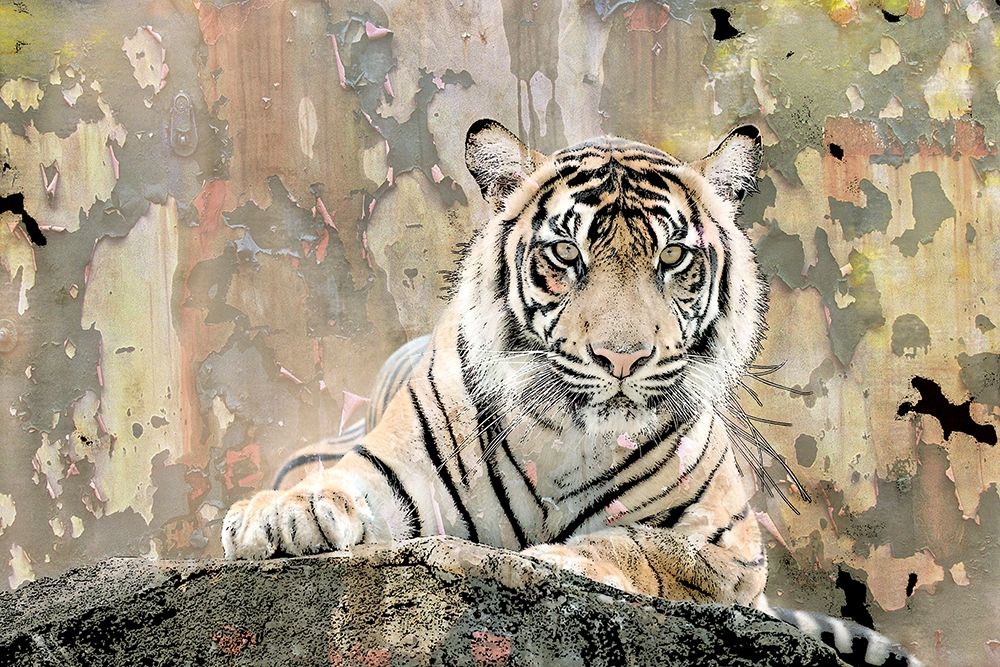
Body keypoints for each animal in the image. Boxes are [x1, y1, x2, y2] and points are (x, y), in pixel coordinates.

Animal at [222, 119, 920, 667]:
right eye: (565, 253)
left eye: (673, 257)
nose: (623, 356)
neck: (567, 437)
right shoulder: (398, 466)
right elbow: (342, 481)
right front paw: (276, 514)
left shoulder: (731, 546)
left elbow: (643, 544)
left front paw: (558, 562)